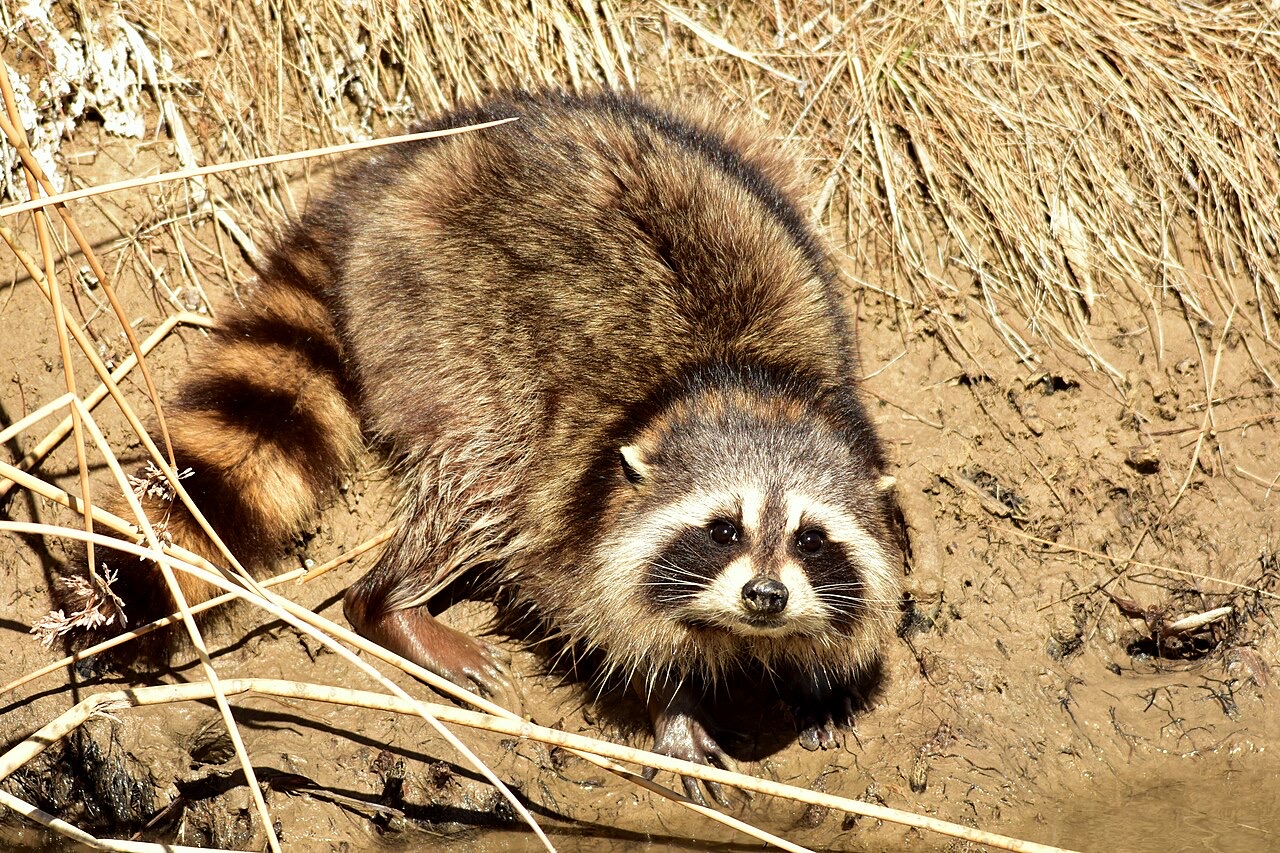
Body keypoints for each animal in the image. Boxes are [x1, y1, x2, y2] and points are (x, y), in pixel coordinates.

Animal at [58, 90, 902, 804]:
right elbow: (598, 617)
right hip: (433, 315)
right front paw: (672, 704)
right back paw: (389, 601)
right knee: (485, 474)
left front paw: (821, 679)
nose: (765, 596)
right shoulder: (577, 507)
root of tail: (398, 170)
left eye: (811, 538)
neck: (745, 386)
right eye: (723, 528)